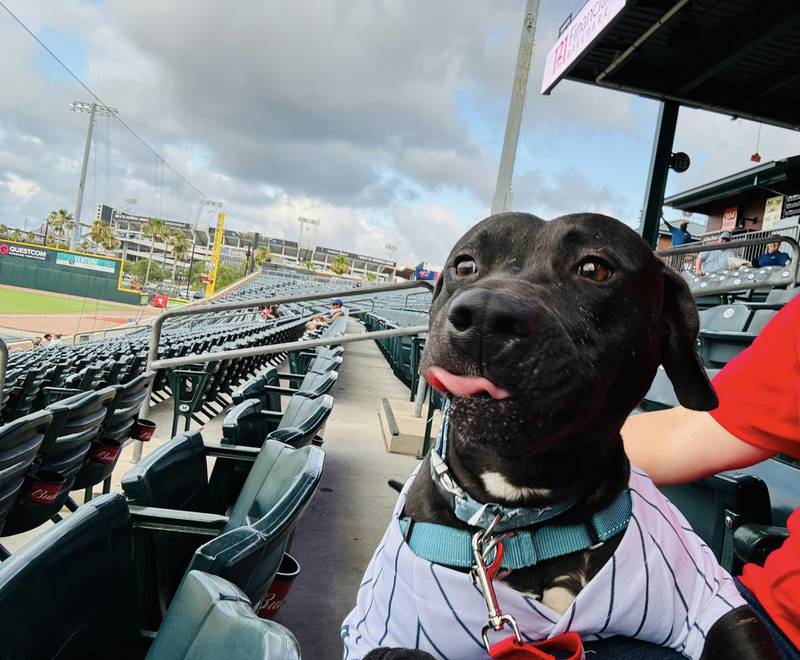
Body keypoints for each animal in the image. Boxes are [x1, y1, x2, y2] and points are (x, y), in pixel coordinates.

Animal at [346, 214, 780, 656]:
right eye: (464, 265)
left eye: (594, 269)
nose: (485, 314)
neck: (518, 516)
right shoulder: (382, 629)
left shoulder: (711, 600)